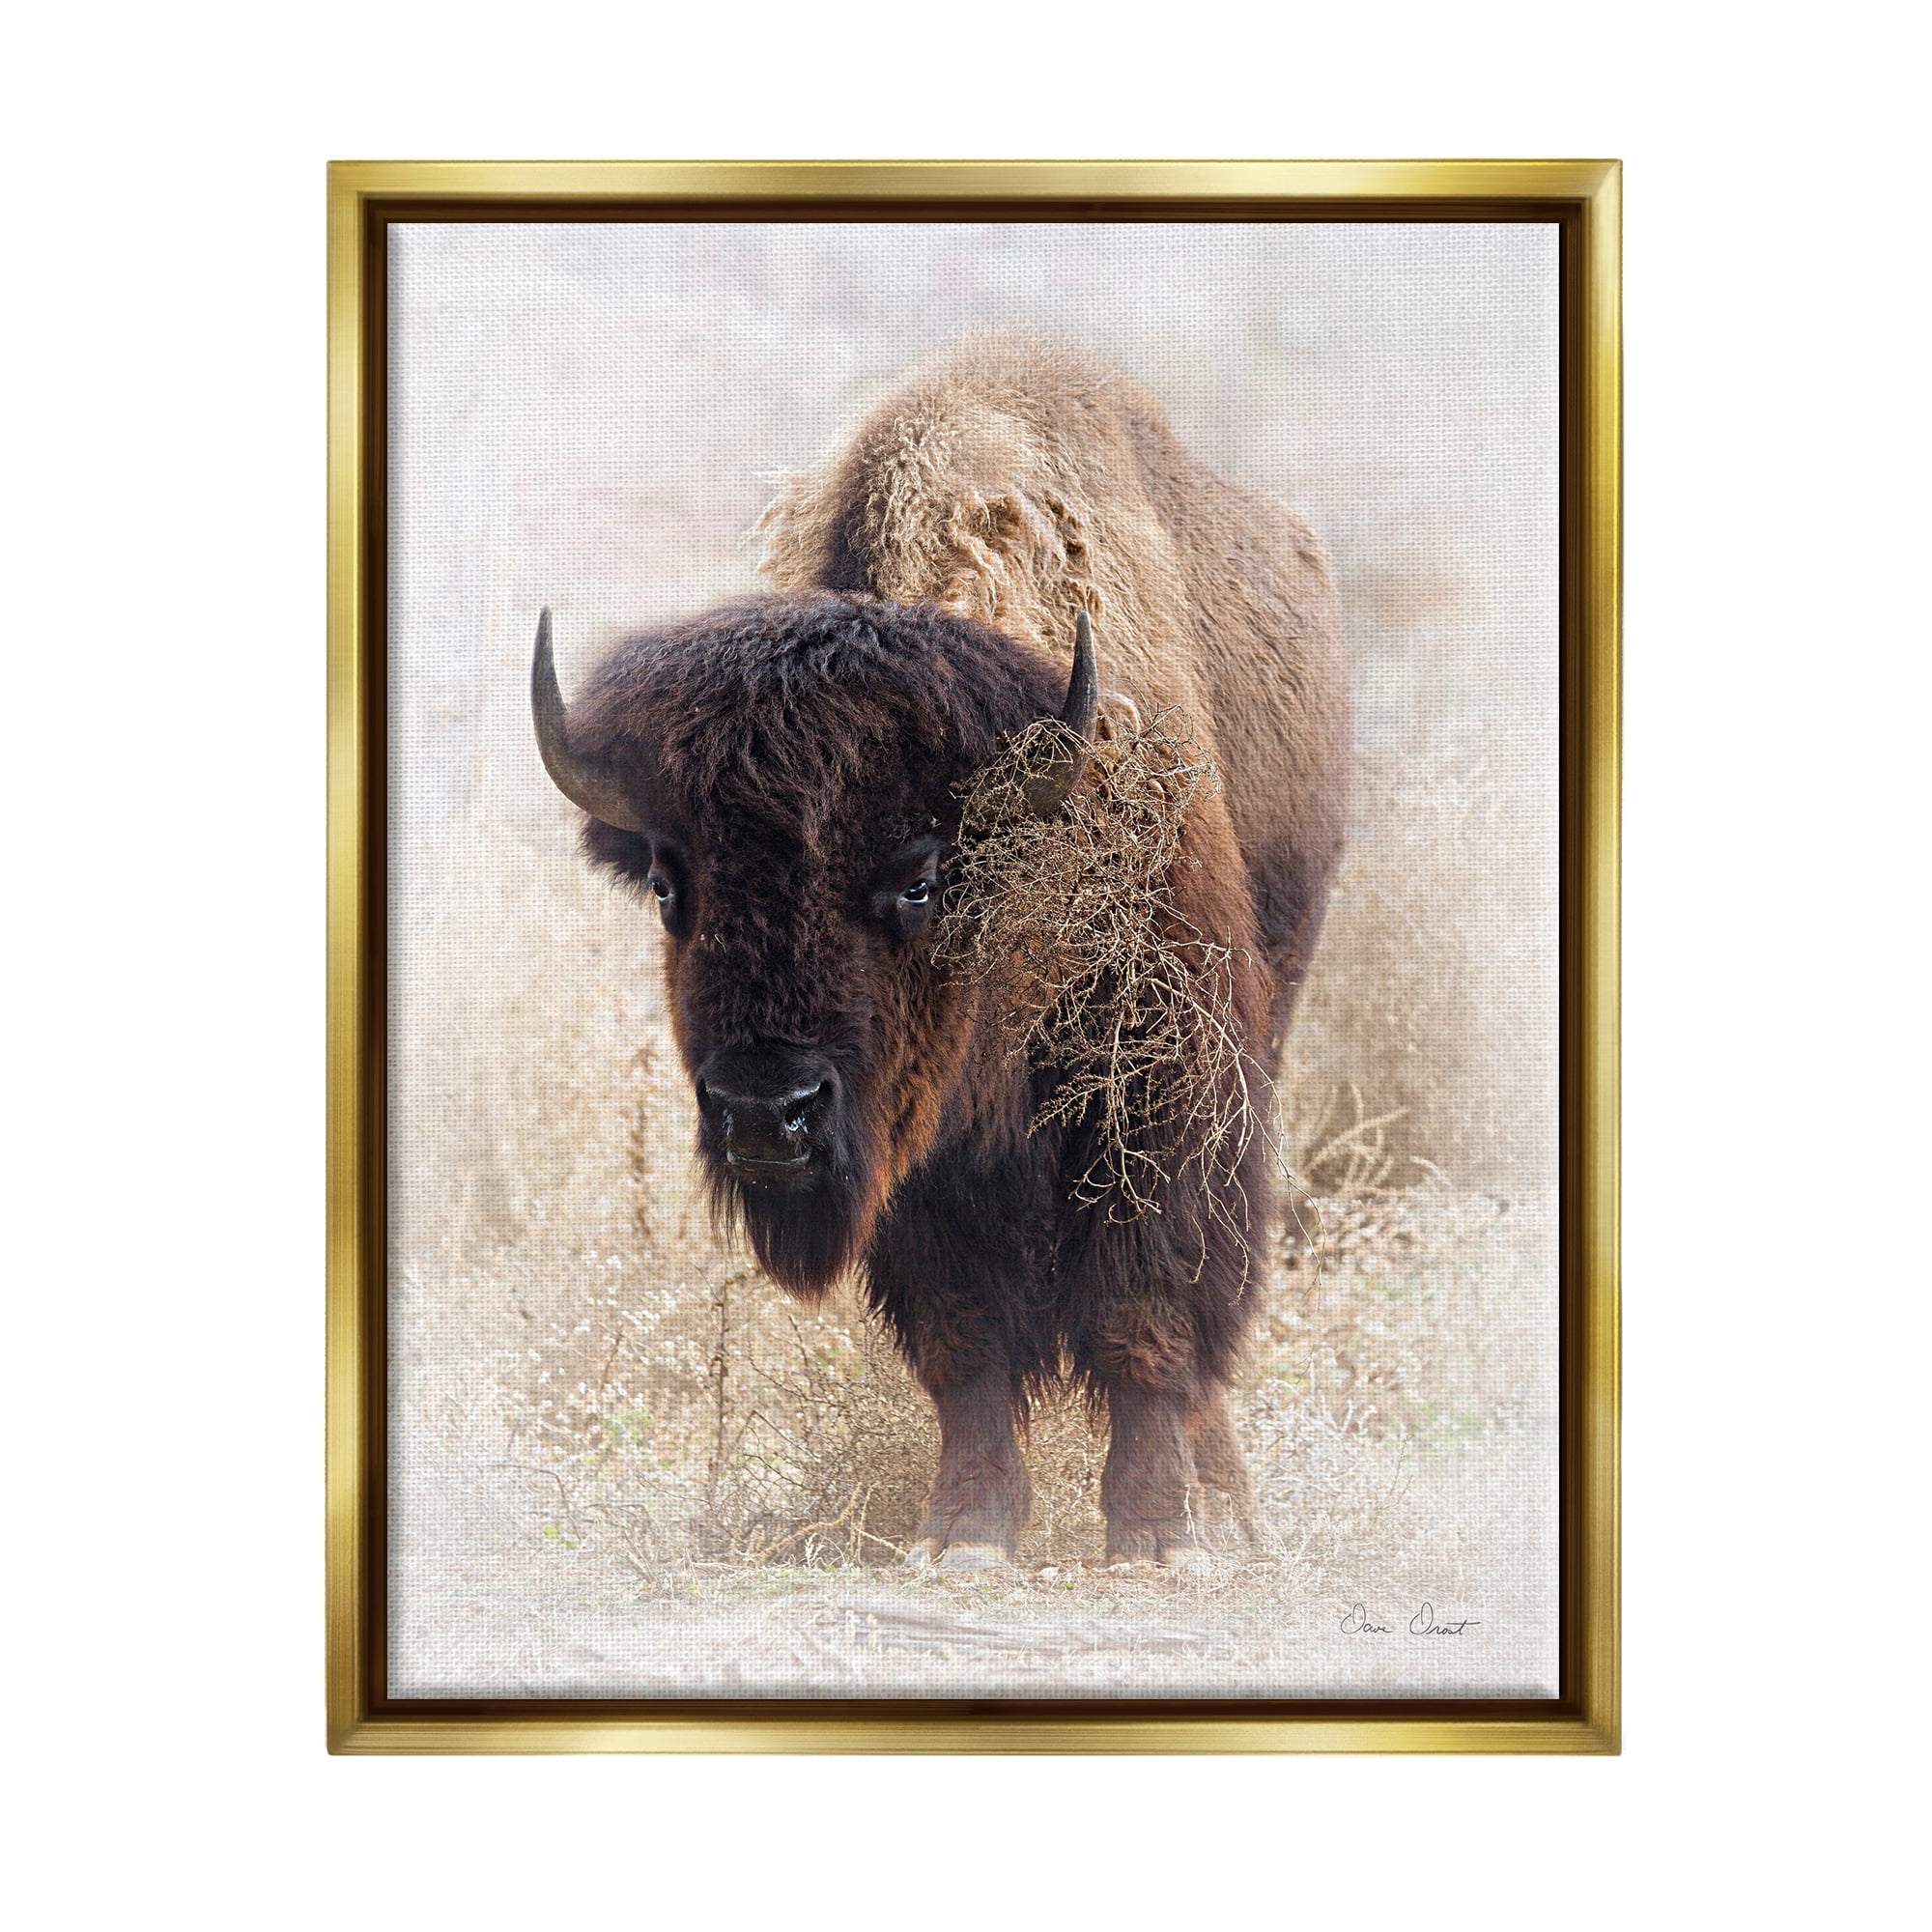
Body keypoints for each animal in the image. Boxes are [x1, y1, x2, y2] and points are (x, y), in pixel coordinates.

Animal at [531, 333, 1349, 1570]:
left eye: (918, 875)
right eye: (671, 884)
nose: (764, 1112)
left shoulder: (1162, 1088)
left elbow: (1145, 1307)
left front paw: (1154, 1533)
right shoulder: (919, 1157)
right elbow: (964, 1337)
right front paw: (966, 1527)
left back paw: (1227, 1510)